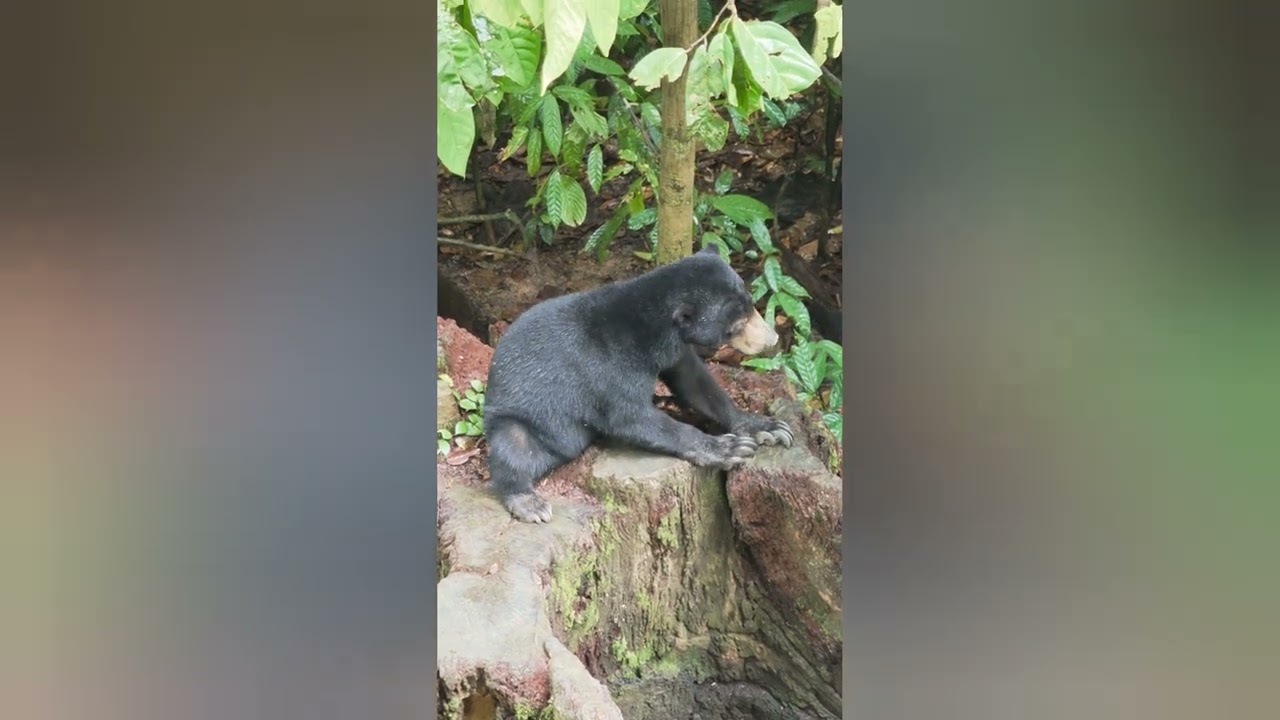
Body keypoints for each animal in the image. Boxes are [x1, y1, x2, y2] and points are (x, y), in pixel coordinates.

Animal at [481, 246, 794, 523]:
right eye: (735, 323)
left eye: (750, 303)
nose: (773, 339)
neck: (655, 329)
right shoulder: (607, 364)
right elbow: (629, 415)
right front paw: (726, 448)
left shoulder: (673, 352)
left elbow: (696, 383)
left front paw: (769, 427)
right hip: (521, 418)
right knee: (513, 445)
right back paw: (528, 502)